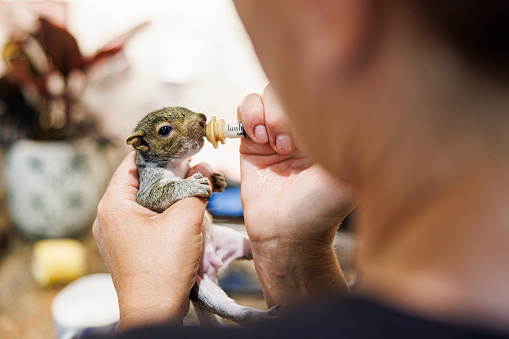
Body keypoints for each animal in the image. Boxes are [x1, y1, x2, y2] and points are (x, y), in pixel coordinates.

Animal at [126, 108, 278, 326]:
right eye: (164, 130)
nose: (202, 119)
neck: (177, 166)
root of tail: (214, 268)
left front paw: (218, 179)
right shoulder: (147, 190)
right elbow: (162, 192)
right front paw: (193, 184)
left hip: (229, 238)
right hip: (198, 289)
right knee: (232, 310)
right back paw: (262, 316)